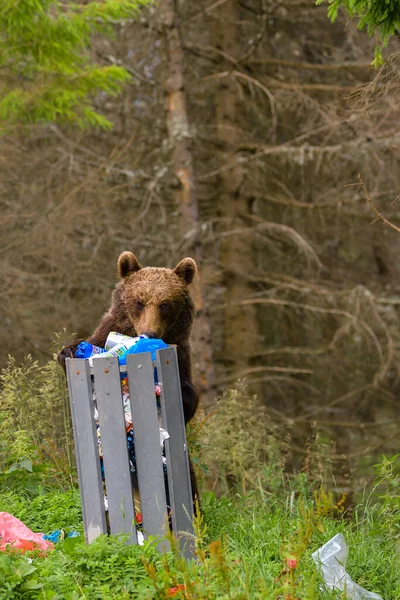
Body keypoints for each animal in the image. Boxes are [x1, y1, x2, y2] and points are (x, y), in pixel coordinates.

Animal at [58, 252, 200, 502]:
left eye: (165, 304)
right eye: (139, 302)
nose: (149, 332)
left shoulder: (181, 356)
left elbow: (188, 398)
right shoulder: (104, 333)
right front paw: (69, 351)